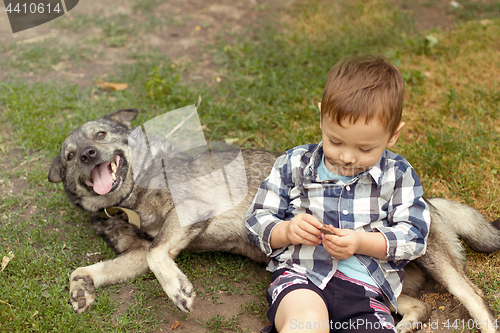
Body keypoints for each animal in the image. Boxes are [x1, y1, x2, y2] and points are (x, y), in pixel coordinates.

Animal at [47, 109, 500, 332]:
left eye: (100, 136)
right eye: (70, 156)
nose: (87, 155)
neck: (130, 199)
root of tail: (427, 201)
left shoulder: (187, 217)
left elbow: (161, 257)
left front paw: (178, 290)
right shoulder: (143, 252)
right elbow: (91, 269)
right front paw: (81, 289)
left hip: (434, 262)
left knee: (474, 297)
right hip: (385, 288)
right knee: (419, 306)